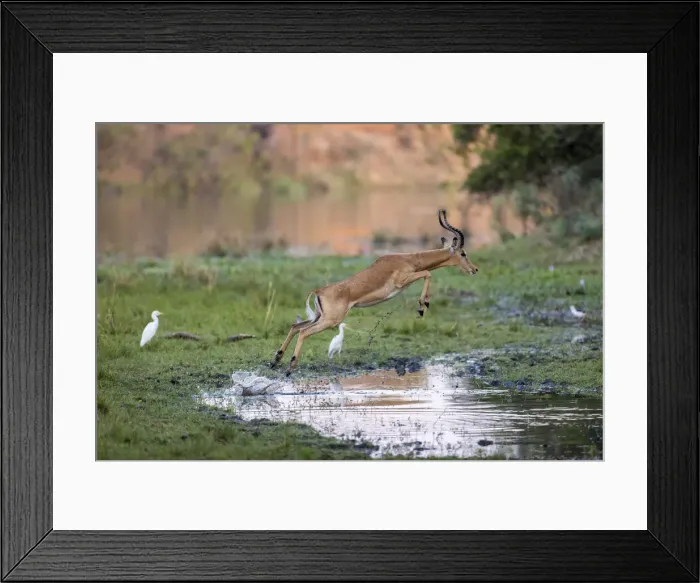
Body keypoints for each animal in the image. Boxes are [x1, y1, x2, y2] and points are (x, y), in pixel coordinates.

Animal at [271, 209, 479, 376]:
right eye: (463, 253)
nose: (475, 269)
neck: (409, 259)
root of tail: (319, 290)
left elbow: (427, 274)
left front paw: (423, 306)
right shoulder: (402, 281)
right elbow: (428, 273)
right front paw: (422, 306)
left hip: (318, 317)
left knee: (295, 326)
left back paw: (276, 360)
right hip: (330, 320)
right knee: (303, 332)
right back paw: (290, 367)